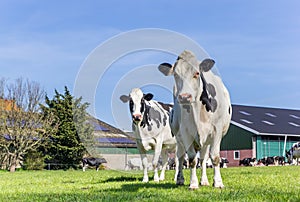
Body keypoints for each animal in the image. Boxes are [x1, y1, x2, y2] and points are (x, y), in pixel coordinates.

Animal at [158, 49, 231, 189]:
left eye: (197, 73)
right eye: (175, 74)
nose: (184, 97)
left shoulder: (217, 130)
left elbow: (215, 157)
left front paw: (218, 182)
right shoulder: (186, 132)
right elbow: (191, 159)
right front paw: (193, 183)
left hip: (206, 141)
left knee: (203, 159)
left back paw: (204, 180)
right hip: (179, 139)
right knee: (180, 158)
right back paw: (180, 179)